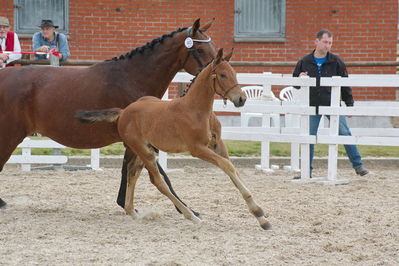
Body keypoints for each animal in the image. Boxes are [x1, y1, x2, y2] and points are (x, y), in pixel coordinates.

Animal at [77, 48, 272, 230]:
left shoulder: (217, 145)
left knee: (133, 173)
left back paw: (132, 211)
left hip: (144, 149)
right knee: (158, 182)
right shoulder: (197, 149)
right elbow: (227, 166)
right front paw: (259, 212)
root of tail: (124, 111)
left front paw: (262, 219)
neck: (197, 110)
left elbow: (233, 169)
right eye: (223, 74)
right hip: (144, 151)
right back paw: (191, 215)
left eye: (235, 73)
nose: (241, 99)